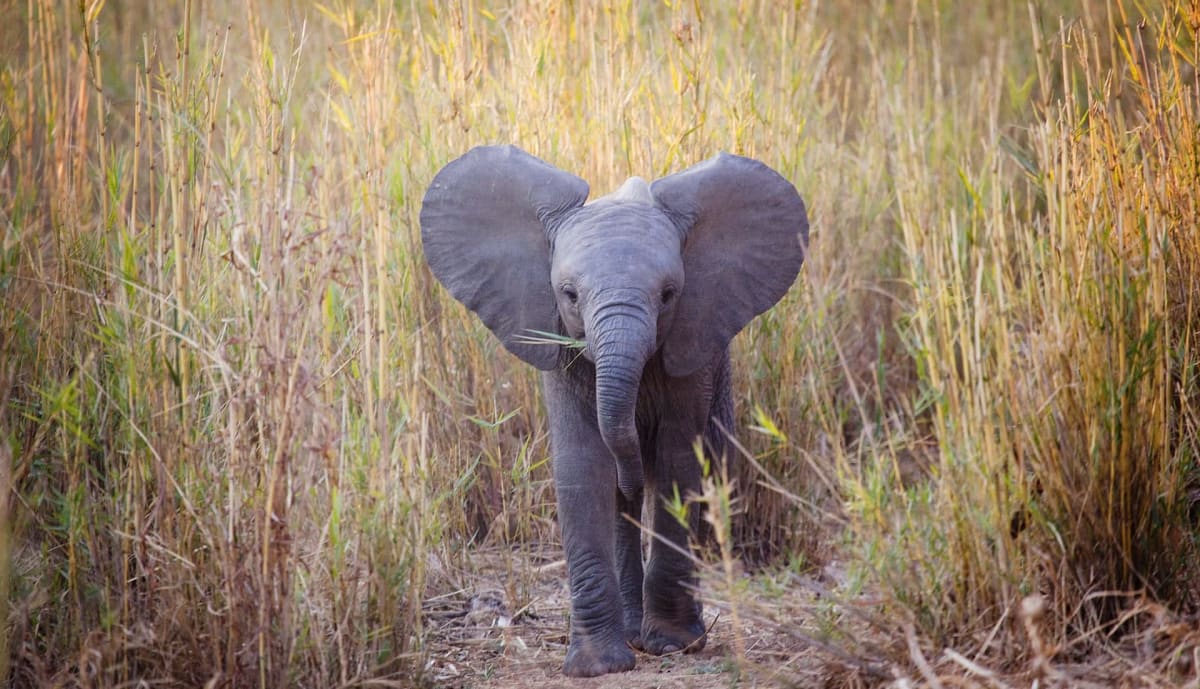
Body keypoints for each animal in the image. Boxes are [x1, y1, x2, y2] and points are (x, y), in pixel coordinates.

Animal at [420, 145, 808, 677]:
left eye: (668, 295)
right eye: (569, 294)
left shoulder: (693, 347)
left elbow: (677, 461)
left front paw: (671, 646)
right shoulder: (559, 347)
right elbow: (583, 466)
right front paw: (597, 666)